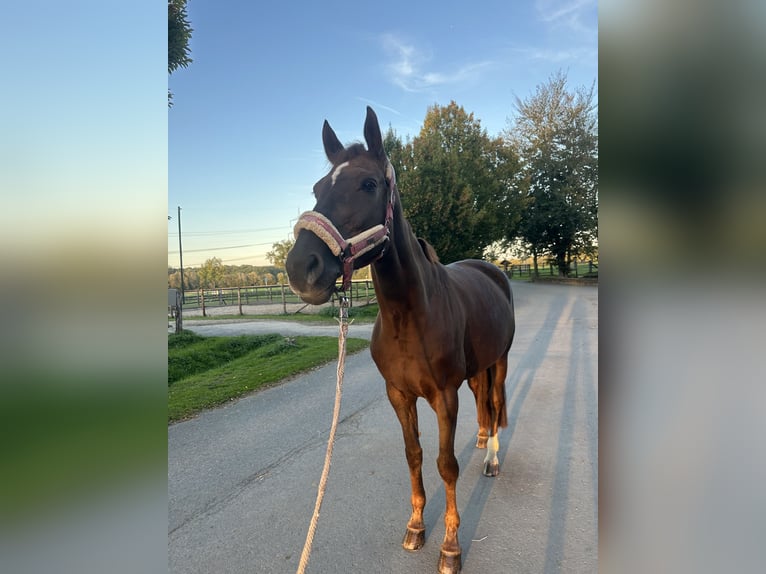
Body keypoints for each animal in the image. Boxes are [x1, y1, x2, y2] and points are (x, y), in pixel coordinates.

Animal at [286, 107, 515, 574]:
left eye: (369, 184)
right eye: (317, 188)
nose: (301, 268)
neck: (409, 318)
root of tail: (492, 270)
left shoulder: (445, 396)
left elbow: (447, 464)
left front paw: (450, 547)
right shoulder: (398, 393)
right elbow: (414, 456)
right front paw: (415, 527)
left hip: (499, 361)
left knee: (496, 400)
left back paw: (491, 459)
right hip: (477, 369)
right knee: (485, 406)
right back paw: (483, 441)